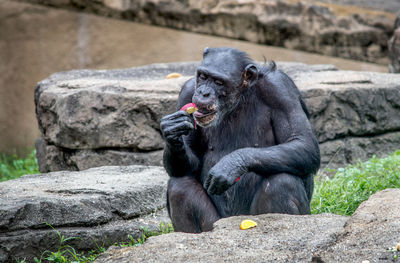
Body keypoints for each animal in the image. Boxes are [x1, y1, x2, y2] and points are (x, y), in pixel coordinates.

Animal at [161, 47, 320, 233]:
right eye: (203, 76)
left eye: (218, 82)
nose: (203, 92)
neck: (239, 98)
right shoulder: (187, 93)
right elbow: (189, 165)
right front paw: (172, 130)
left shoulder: (281, 90)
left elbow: (302, 142)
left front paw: (230, 165)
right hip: (215, 223)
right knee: (180, 186)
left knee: (282, 182)